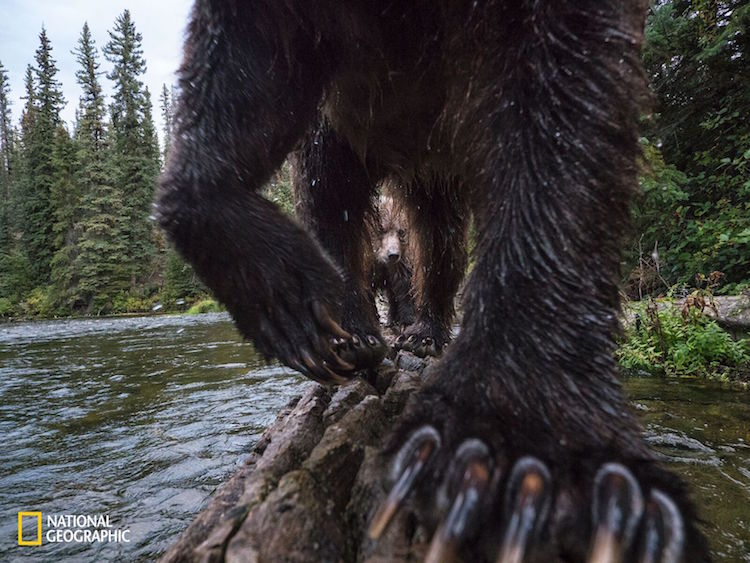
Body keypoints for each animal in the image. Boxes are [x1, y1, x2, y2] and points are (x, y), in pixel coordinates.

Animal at [157, 1, 709, 561]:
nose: (390, 250)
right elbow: (248, 71)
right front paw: (299, 308)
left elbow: (564, 115)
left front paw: (521, 459)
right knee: (330, 188)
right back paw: (350, 333)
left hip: (436, 160)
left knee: (440, 240)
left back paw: (424, 333)